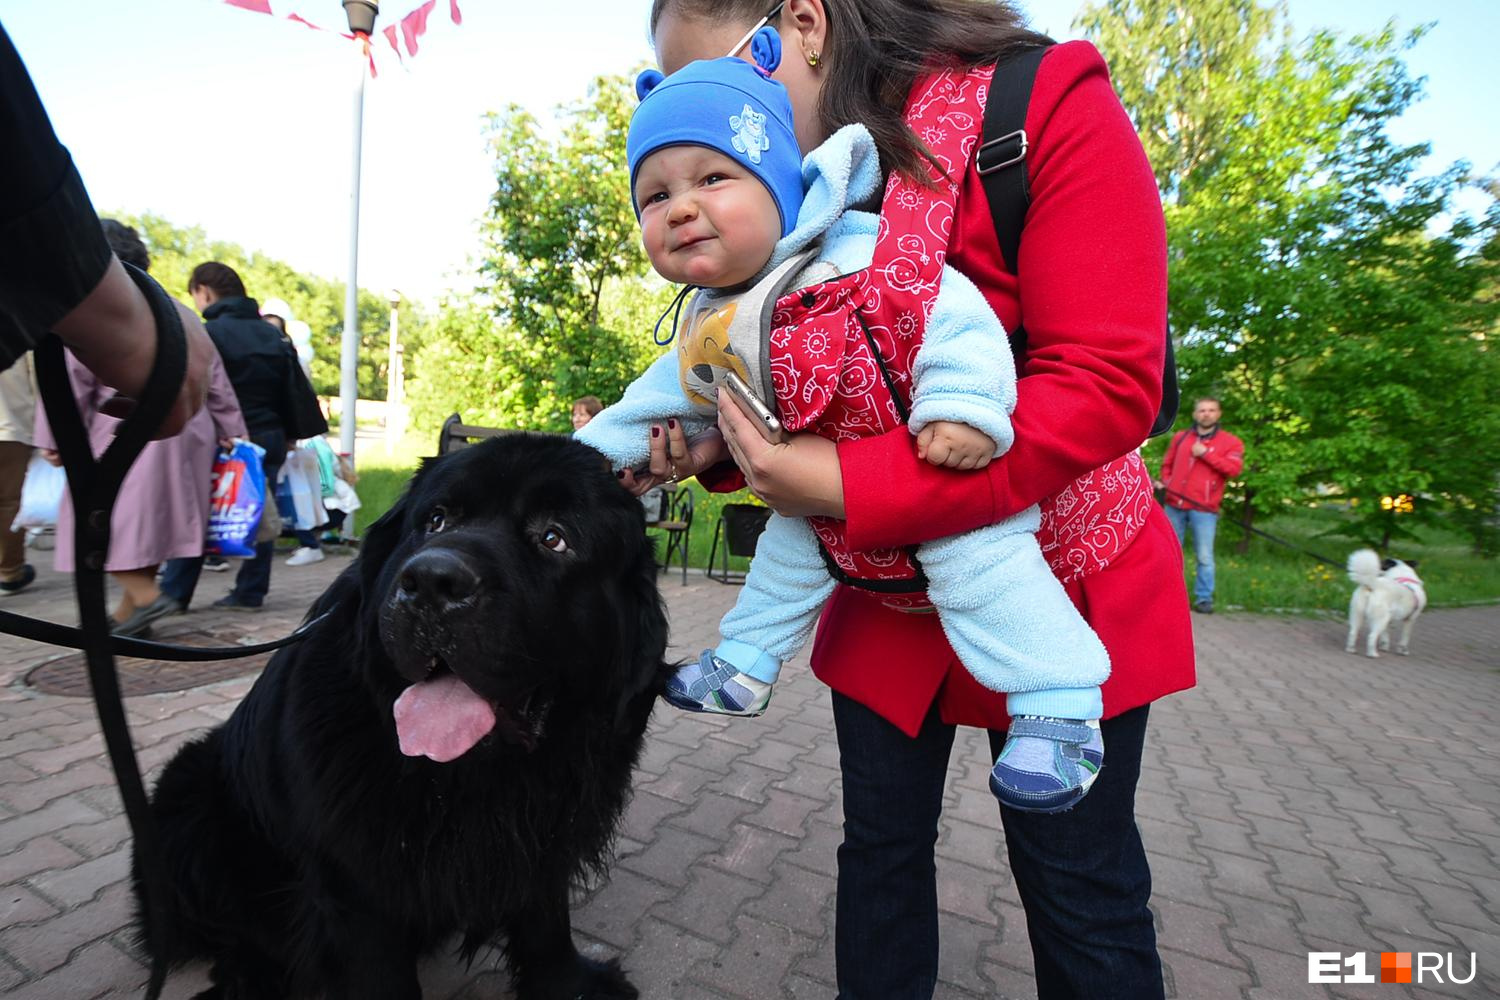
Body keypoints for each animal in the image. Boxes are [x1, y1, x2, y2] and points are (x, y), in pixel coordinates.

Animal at [139, 437, 669, 1000]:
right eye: (435, 520)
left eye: (554, 538)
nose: (433, 581)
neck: (466, 781)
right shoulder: (353, 884)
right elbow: (378, 970)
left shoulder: (547, 833)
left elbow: (545, 915)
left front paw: (566, 983)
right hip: (187, 807)